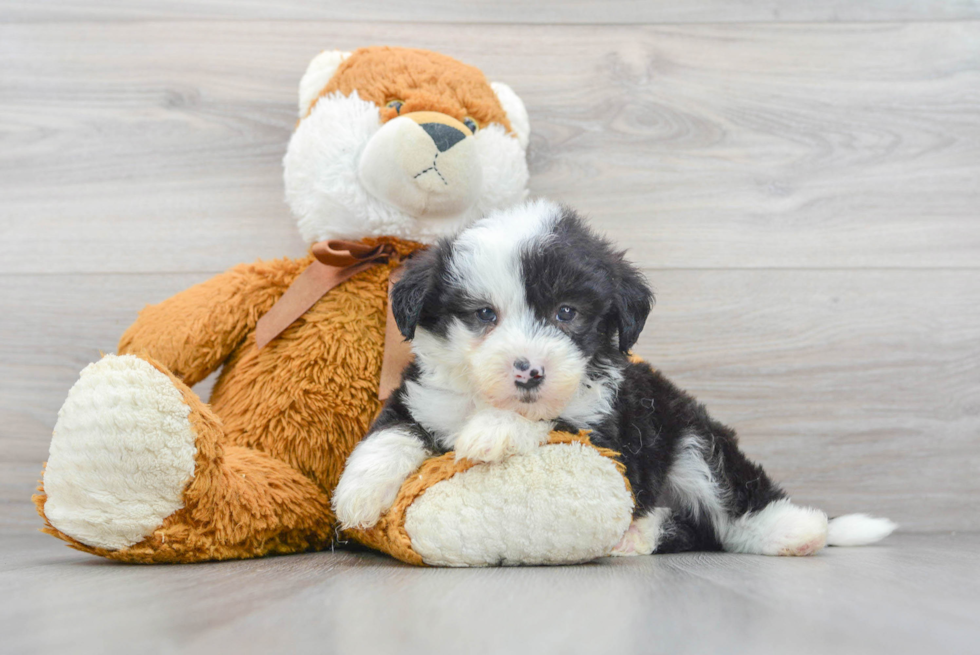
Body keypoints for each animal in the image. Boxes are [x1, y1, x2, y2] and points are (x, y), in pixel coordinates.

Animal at [332, 201, 896, 560]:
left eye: (566, 313)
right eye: (483, 315)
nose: (529, 370)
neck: (483, 397)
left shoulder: (606, 427)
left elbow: (549, 420)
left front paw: (493, 431)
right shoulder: (424, 396)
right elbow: (392, 429)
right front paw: (357, 492)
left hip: (688, 435)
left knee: (731, 499)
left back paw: (795, 530)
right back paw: (636, 536)